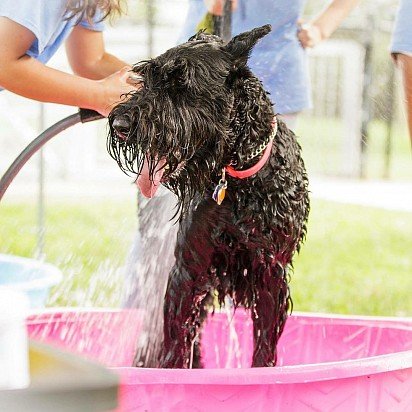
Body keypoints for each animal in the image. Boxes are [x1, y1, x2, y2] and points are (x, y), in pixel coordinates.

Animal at [108, 25, 308, 366]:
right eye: (147, 77)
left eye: (182, 83)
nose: (121, 124)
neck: (238, 177)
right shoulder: (188, 270)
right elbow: (177, 344)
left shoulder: (270, 274)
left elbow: (264, 347)